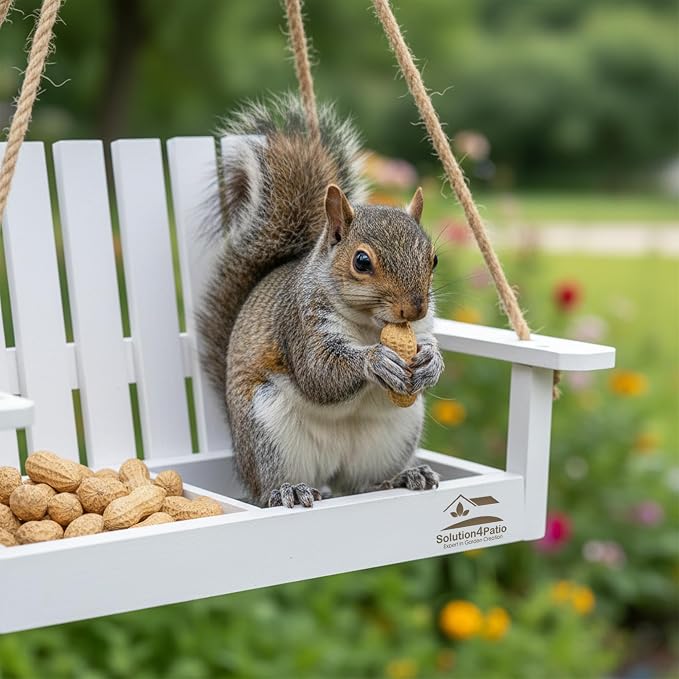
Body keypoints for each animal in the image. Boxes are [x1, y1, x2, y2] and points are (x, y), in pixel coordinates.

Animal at [199, 95, 445, 508]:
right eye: (361, 261)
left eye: (434, 259)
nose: (415, 308)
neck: (372, 325)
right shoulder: (301, 322)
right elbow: (319, 373)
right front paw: (375, 361)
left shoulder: (421, 328)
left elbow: (428, 345)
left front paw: (431, 362)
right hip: (269, 430)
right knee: (271, 488)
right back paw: (288, 490)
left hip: (393, 434)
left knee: (360, 484)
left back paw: (402, 476)